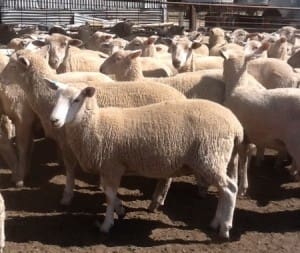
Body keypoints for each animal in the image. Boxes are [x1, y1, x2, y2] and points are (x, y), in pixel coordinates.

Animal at [47, 80, 244, 238]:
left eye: (76, 100)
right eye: (55, 98)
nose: (53, 120)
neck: (96, 124)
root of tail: (236, 126)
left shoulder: (112, 165)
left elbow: (109, 195)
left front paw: (106, 224)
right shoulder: (107, 167)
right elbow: (107, 192)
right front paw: (120, 209)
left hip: (211, 156)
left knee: (230, 189)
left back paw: (225, 228)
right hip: (221, 159)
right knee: (224, 190)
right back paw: (216, 222)